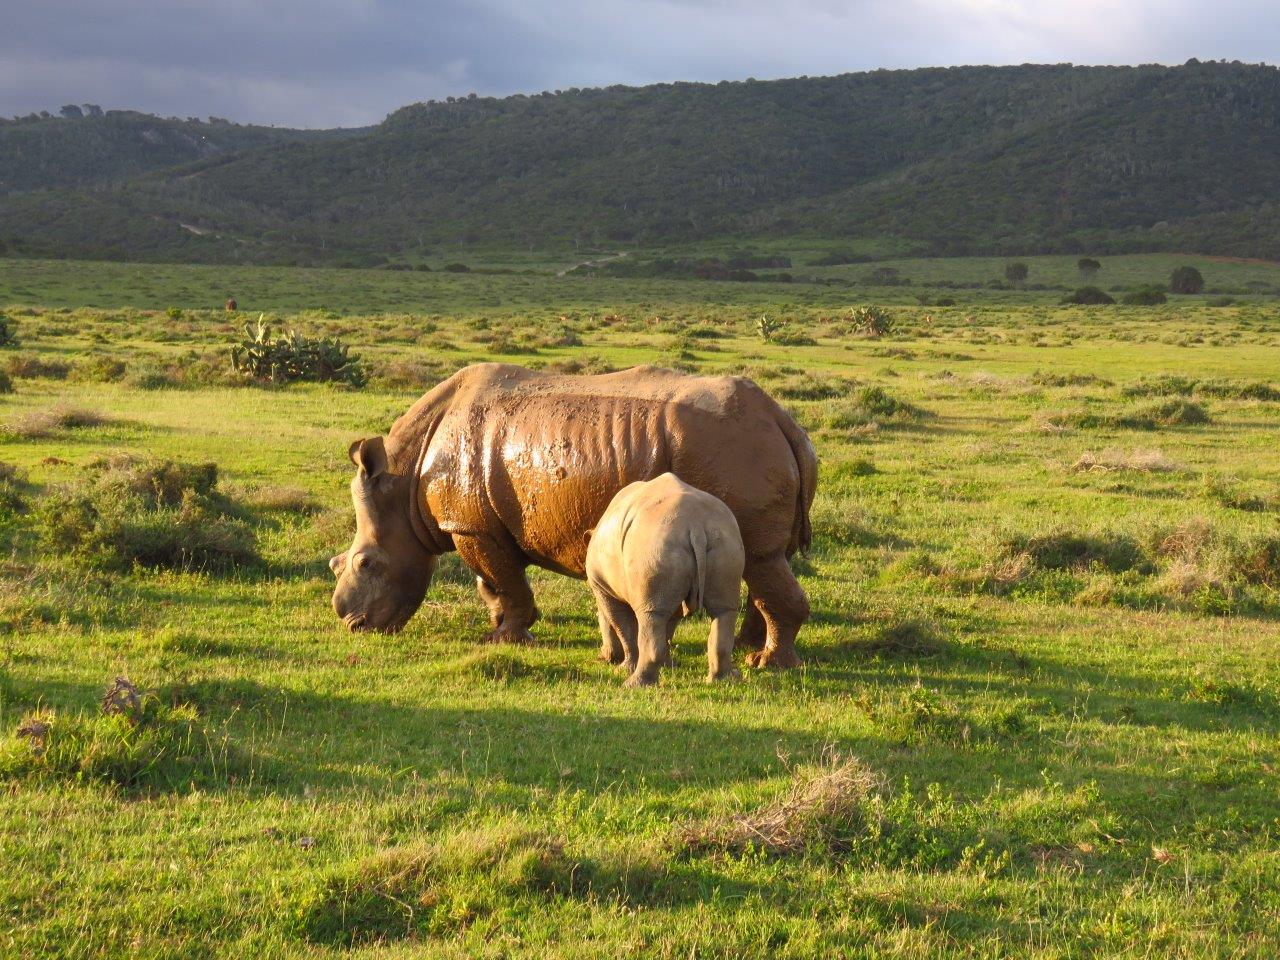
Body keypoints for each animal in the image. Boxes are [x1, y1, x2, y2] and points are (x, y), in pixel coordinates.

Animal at [586, 471, 747, 686]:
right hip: (724, 540)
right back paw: (724, 680)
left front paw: (624, 668)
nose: (603, 657)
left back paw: (634, 684)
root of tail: (696, 525)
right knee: (723, 610)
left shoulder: (603, 587)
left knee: (652, 614)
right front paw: (668, 666)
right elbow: (669, 625)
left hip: (654, 545)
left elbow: (623, 626)